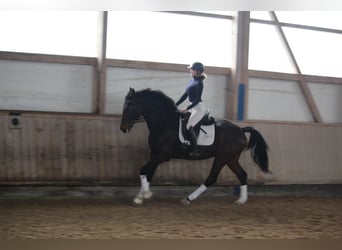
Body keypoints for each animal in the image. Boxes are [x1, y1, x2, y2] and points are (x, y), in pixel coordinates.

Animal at [120, 87, 270, 205]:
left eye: (130, 106)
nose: (123, 128)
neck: (164, 123)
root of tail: (241, 130)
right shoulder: (155, 155)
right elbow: (148, 174)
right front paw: (140, 196)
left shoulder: (161, 156)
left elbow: (143, 170)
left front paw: (144, 195)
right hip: (231, 159)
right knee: (242, 174)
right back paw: (241, 200)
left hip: (222, 157)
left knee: (212, 178)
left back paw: (188, 198)